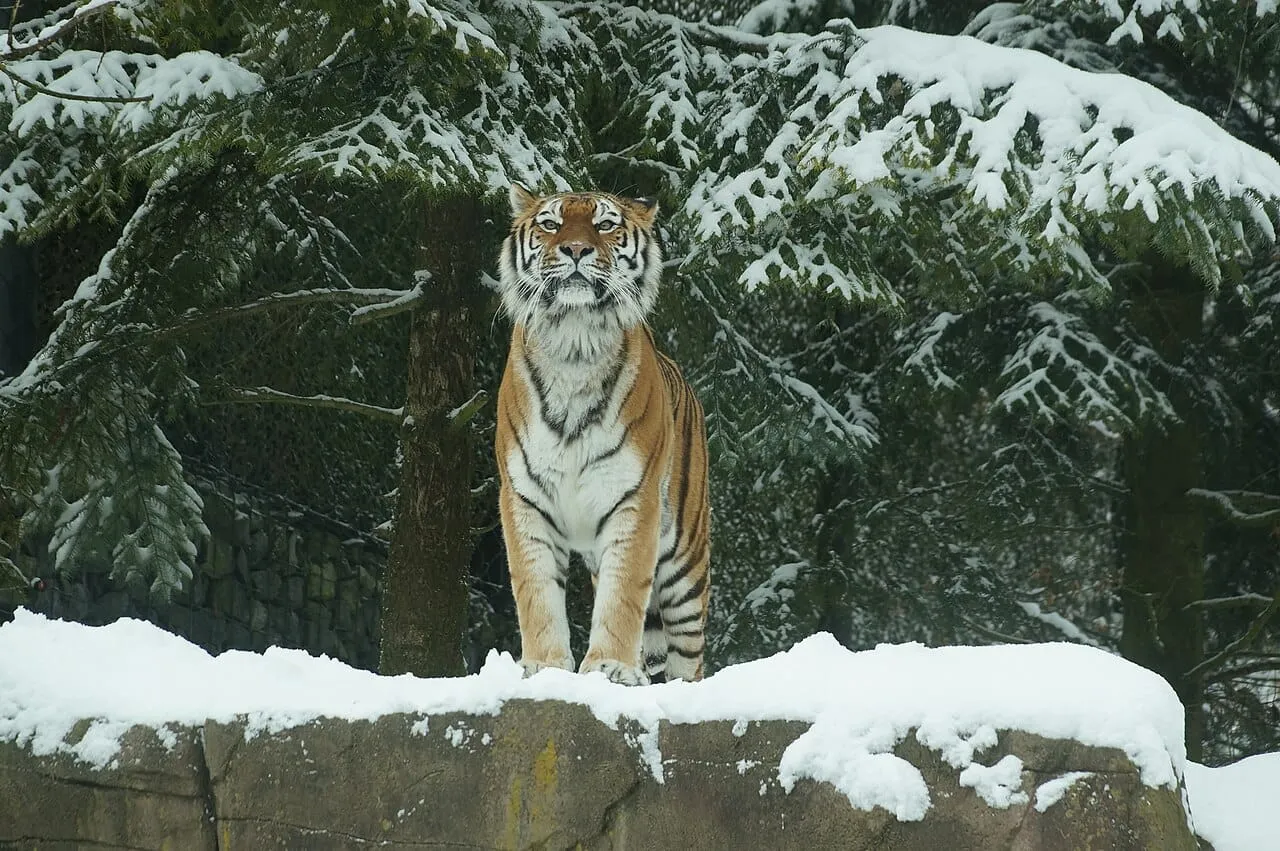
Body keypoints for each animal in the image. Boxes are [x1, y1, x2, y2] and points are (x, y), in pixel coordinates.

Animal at [494, 183, 711, 686]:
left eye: (605, 224)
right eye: (550, 224)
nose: (576, 249)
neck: (574, 344)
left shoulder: (634, 499)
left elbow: (623, 593)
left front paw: (610, 667)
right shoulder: (523, 498)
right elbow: (536, 591)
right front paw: (544, 666)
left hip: (685, 564)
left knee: (687, 656)